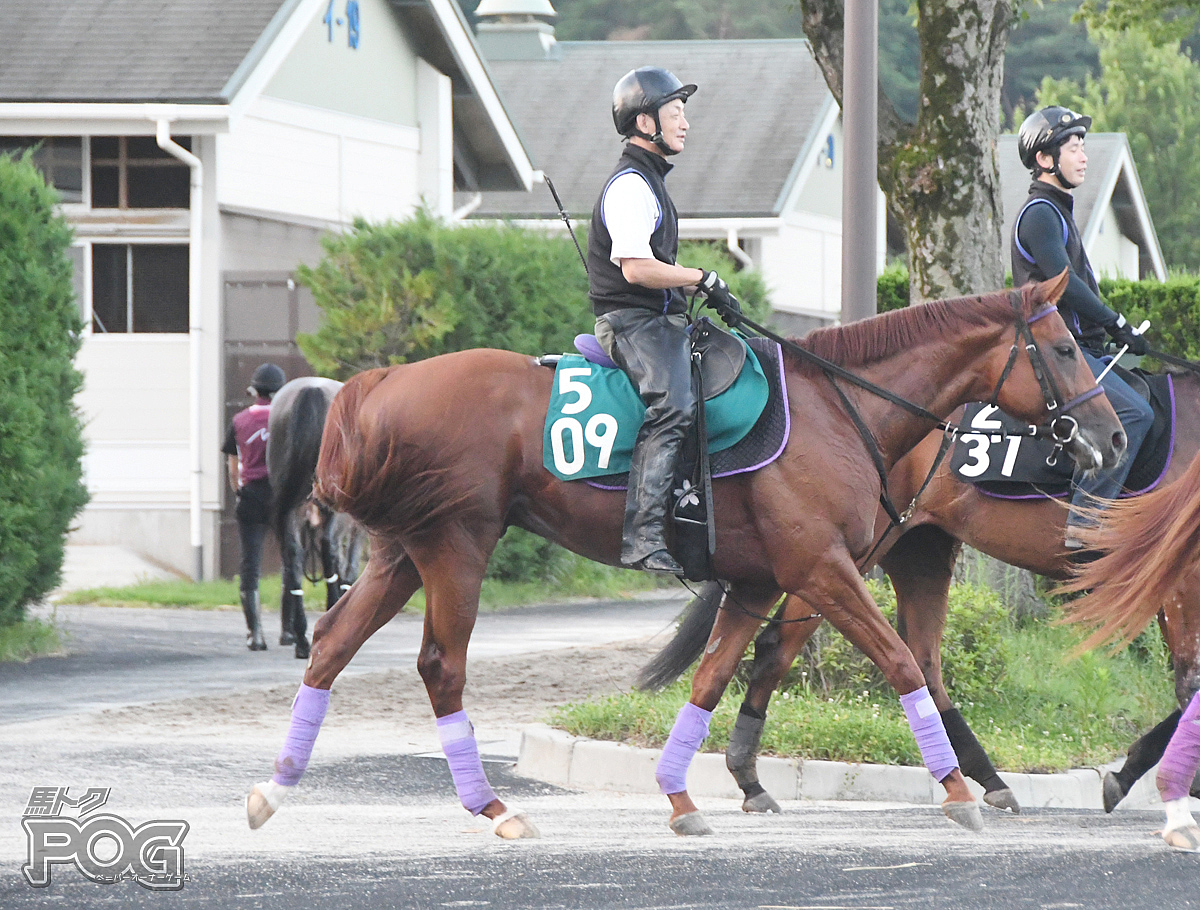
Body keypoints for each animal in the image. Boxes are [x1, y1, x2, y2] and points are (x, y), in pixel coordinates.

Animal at [246, 276, 1123, 840]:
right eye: (1064, 349)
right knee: (441, 667)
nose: (1112, 438)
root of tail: (380, 383)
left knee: (332, 645)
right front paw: (956, 790)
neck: (837, 407)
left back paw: (274, 788)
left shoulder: (759, 582)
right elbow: (903, 663)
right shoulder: (822, 571)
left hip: (401, 551)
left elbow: (710, 679)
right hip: (456, 544)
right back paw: (493, 809)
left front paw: (681, 796)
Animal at [643, 362, 1200, 821]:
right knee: (781, 647)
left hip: (919, 550)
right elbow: (1189, 684)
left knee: (922, 661)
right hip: (837, 557)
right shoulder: (1179, 580)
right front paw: (1134, 774)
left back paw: (984, 776)